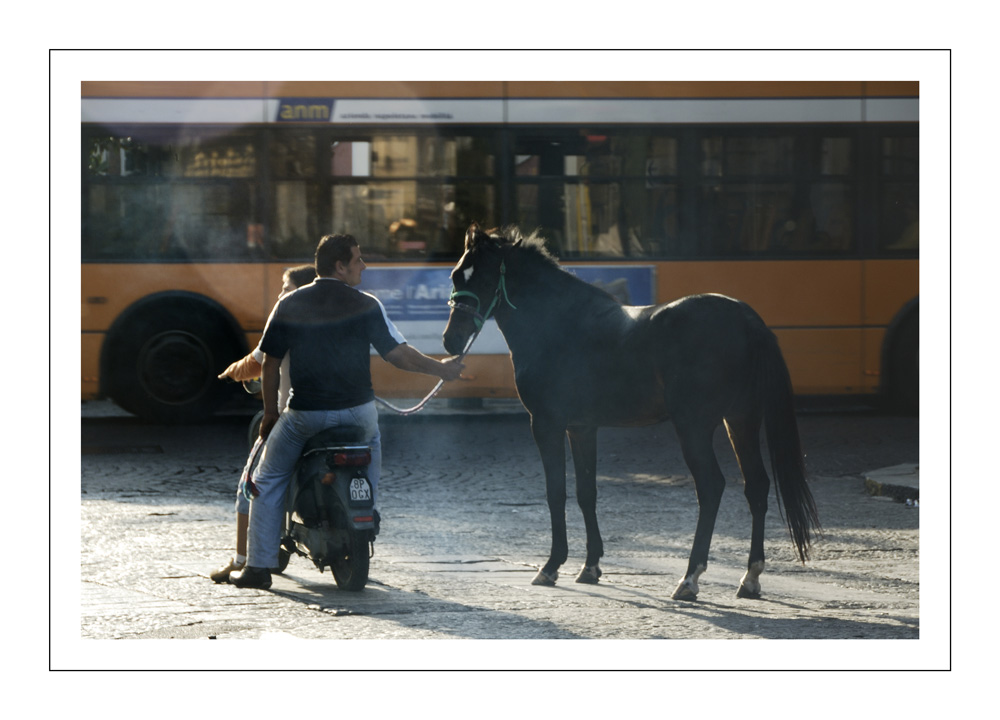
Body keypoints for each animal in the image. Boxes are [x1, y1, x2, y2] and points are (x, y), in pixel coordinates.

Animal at [442, 226, 816, 600]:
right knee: (756, 486)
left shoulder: (547, 424)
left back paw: (689, 579)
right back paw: (749, 578)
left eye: (485, 278)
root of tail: (747, 320)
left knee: (711, 488)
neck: (558, 325)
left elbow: (556, 492)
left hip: (694, 426)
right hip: (740, 420)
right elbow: (586, 492)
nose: (451, 341)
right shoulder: (581, 427)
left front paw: (551, 566)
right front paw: (590, 566)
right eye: (456, 275)